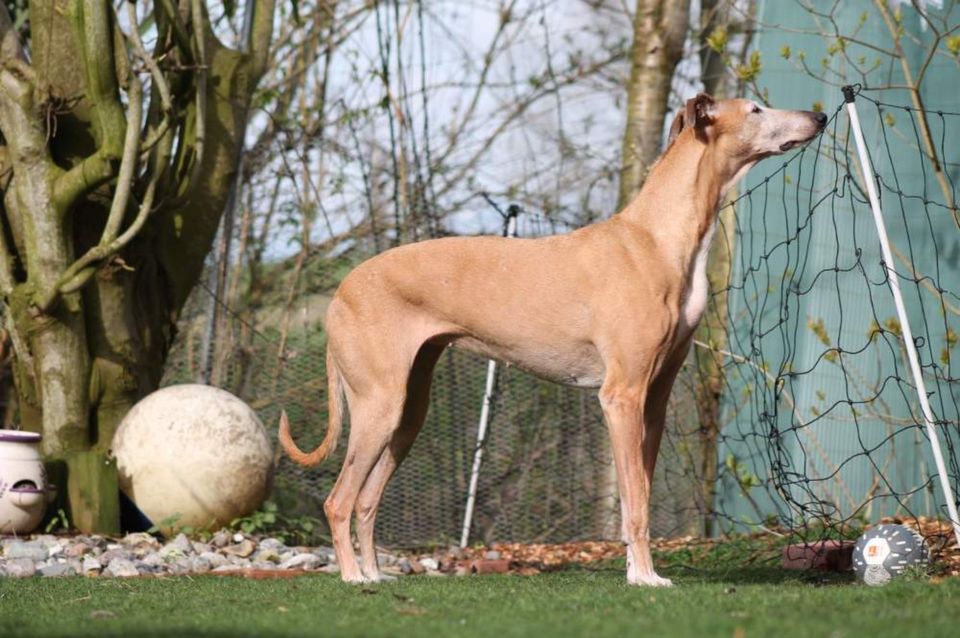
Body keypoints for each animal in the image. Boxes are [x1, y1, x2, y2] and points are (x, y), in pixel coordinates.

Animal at [280, 92, 824, 588]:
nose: (818, 115)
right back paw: (353, 577)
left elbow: (640, 494)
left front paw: (640, 571)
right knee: (338, 500)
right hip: (379, 406)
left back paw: (375, 573)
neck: (656, 238)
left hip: (407, 413)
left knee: (367, 500)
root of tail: (340, 293)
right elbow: (635, 504)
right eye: (755, 109)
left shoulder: (653, 402)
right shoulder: (621, 396)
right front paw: (645, 579)